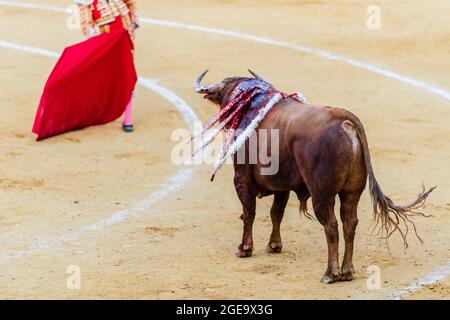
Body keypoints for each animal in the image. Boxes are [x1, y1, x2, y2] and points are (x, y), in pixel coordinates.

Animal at [193, 70, 436, 282]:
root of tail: (343, 120)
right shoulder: (282, 186)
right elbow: (276, 213)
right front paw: (274, 246)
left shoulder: (242, 177)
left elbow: (249, 212)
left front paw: (244, 248)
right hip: (352, 192)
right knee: (350, 223)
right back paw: (347, 271)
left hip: (322, 194)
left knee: (331, 226)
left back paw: (330, 273)